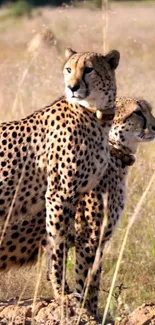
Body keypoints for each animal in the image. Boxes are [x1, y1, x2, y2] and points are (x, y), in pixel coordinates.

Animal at [0, 48, 120, 298]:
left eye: (89, 69)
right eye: (68, 69)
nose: (72, 87)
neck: (95, 114)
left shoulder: (77, 196)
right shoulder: (59, 194)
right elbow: (57, 244)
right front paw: (62, 293)